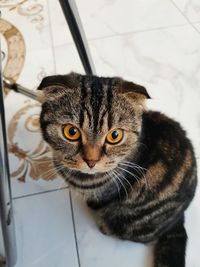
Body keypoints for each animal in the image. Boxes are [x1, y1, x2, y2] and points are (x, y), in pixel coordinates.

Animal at [38, 72, 197, 266]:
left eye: (115, 135)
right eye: (71, 132)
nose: (91, 161)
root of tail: (178, 220)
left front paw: (92, 205)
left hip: (125, 221)